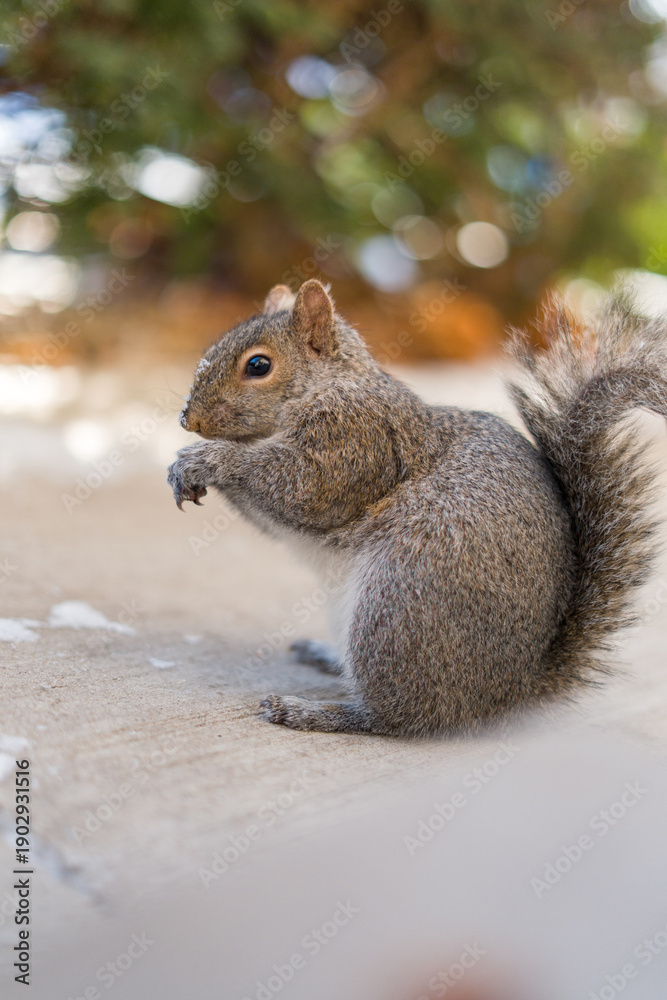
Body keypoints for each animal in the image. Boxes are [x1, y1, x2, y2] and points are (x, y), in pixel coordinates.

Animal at [168, 279, 667, 737]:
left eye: (259, 365)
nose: (188, 420)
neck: (328, 385)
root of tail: (511, 689)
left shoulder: (357, 441)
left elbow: (304, 489)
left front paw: (208, 459)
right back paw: (326, 657)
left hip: (397, 606)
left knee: (397, 717)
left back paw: (314, 712)